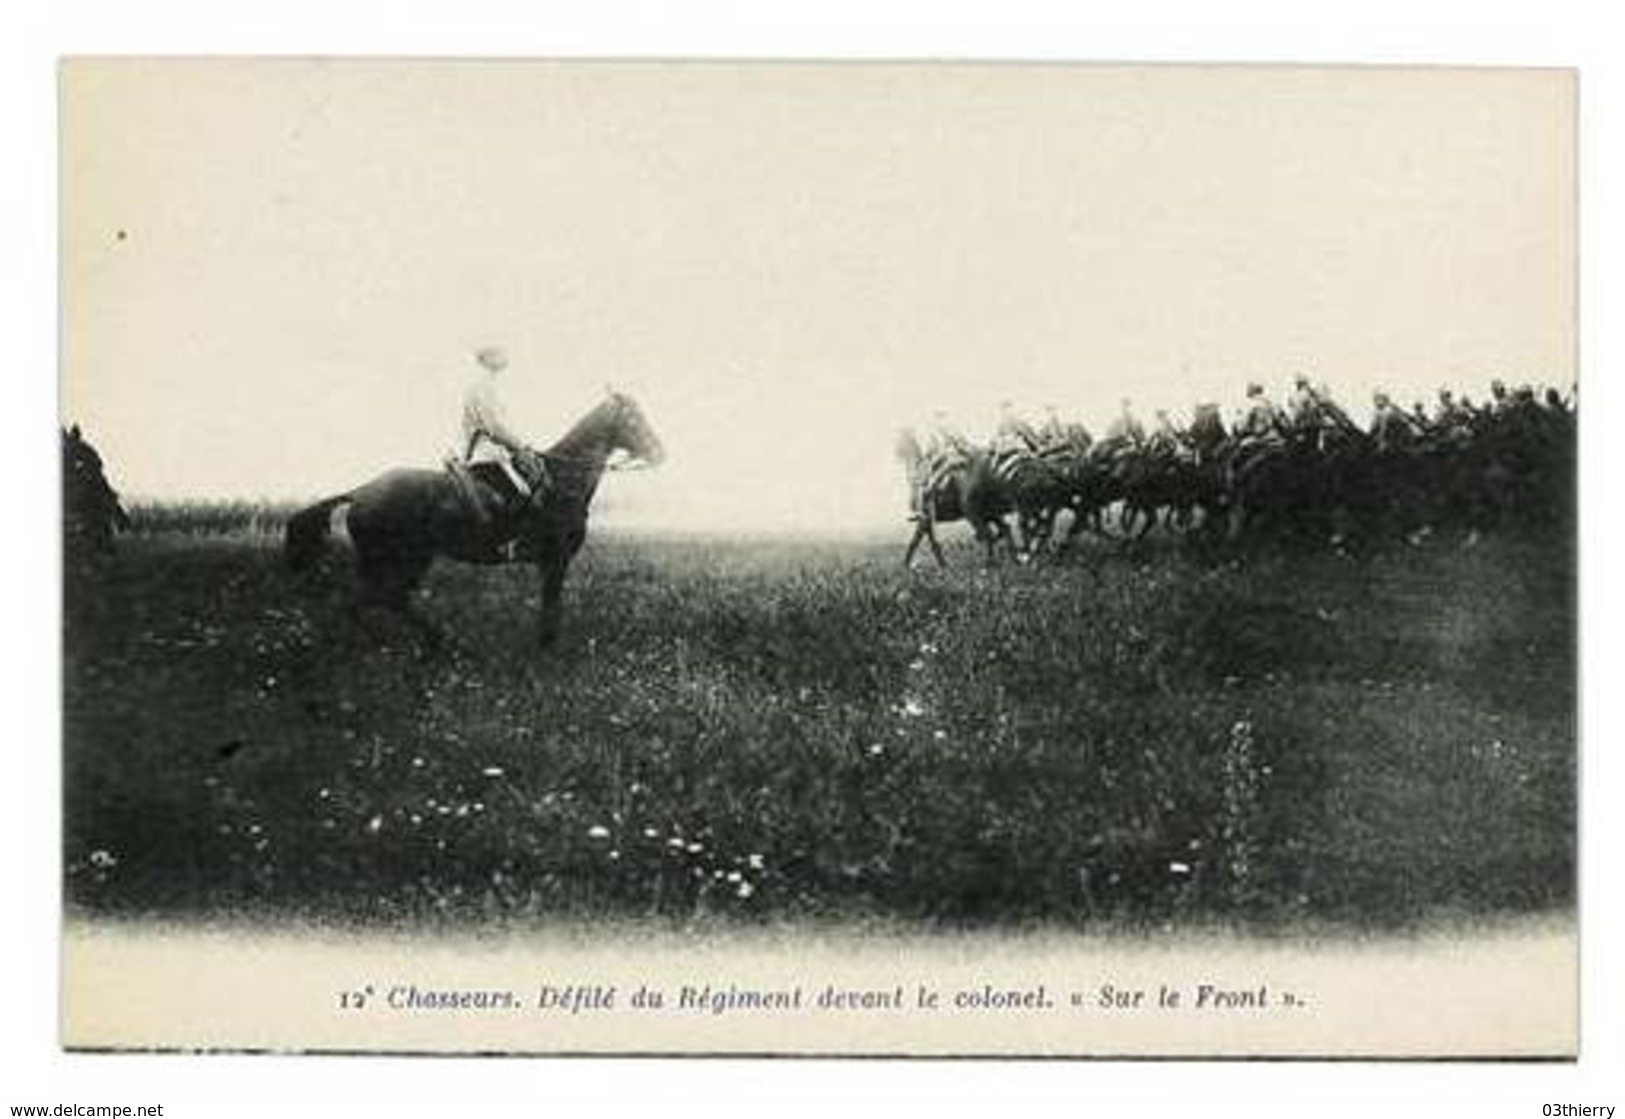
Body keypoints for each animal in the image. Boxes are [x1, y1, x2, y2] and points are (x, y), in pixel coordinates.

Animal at [282, 391, 663, 646]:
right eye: (634, 418)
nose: (661, 453)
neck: (562, 481)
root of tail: (360, 491)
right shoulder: (556, 560)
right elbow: (551, 607)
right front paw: (547, 652)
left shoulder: (551, 563)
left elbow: (549, 606)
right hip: (403, 558)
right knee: (377, 599)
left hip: (402, 560)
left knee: (380, 599)